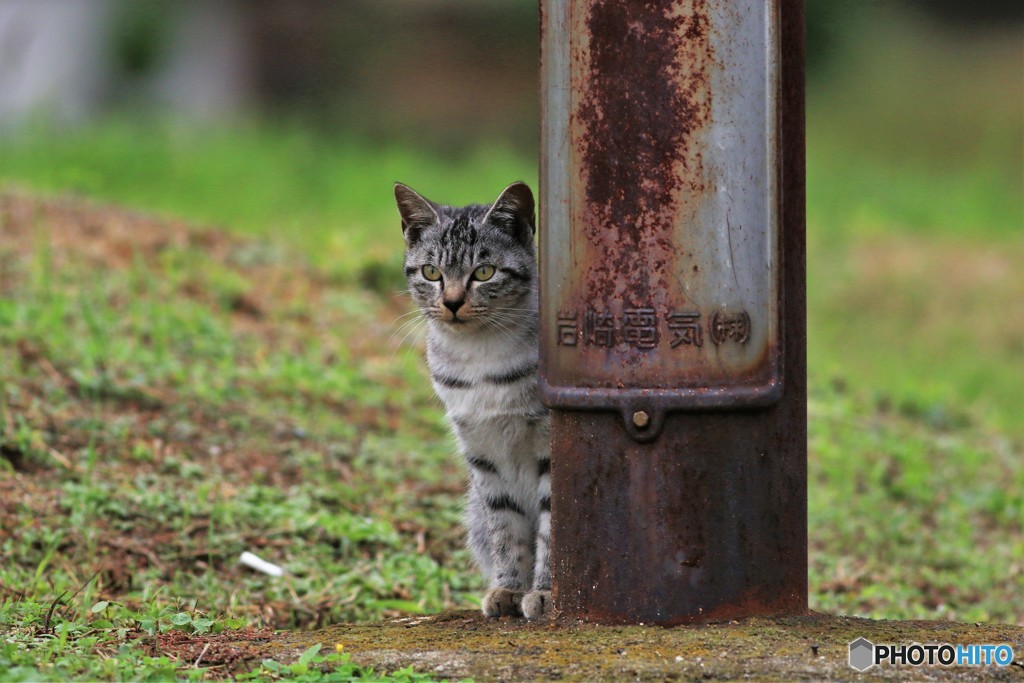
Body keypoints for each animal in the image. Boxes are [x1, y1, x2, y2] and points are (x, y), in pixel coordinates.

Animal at [391, 181, 552, 618]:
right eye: (431, 272)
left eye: (484, 272)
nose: (451, 302)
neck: (481, 357)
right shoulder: (482, 452)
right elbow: (505, 528)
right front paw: (508, 588)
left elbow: (552, 527)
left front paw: (546, 592)